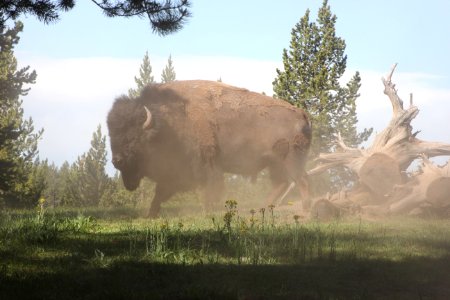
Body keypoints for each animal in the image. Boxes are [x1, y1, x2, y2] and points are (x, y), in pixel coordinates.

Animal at [107, 79, 312, 217]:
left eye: (133, 137)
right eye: (112, 136)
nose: (117, 160)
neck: (168, 121)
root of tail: (302, 114)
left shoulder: (205, 165)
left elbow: (209, 189)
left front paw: (207, 211)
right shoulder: (174, 171)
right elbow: (160, 193)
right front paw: (150, 214)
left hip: (291, 160)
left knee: (301, 180)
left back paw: (306, 210)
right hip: (274, 163)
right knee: (281, 183)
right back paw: (262, 207)